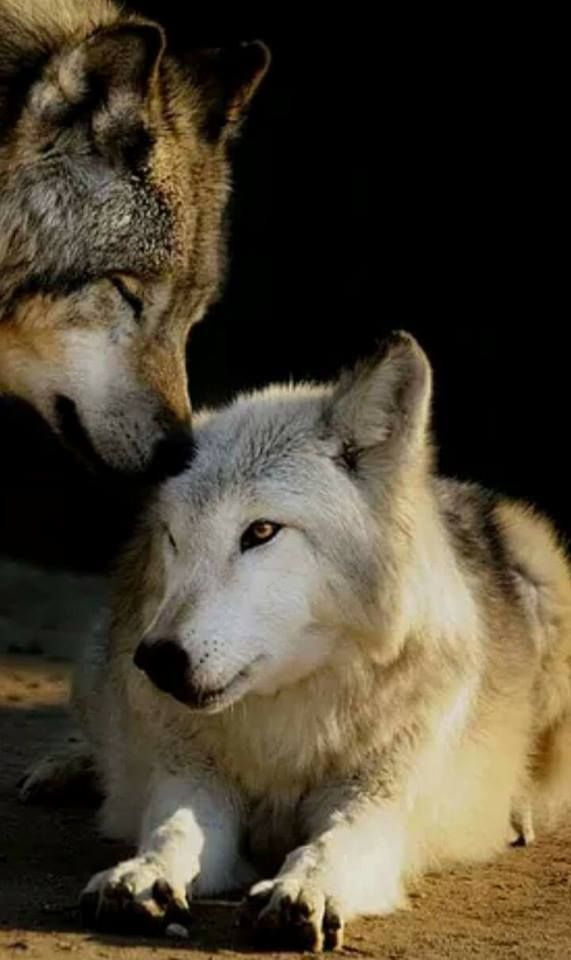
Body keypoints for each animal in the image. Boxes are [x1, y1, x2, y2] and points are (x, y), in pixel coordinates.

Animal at [40, 334, 571, 948]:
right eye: (173, 538)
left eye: (262, 531)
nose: (157, 659)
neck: (290, 723)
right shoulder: (193, 778)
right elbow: (172, 831)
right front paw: (141, 874)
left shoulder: (378, 798)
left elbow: (331, 844)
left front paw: (301, 889)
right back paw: (73, 770)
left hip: (546, 586)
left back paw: (517, 809)